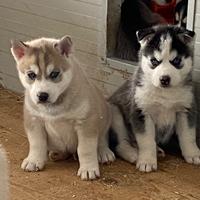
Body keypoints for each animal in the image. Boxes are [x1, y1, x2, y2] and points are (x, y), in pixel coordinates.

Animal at [10, 36, 114, 181]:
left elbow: (85, 149)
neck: (53, 107)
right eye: (31, 75)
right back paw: (57, 153)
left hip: (105, 114)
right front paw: (34, 160)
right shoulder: (34, 120)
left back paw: (104, 152)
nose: (42, 96)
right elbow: (37, 143)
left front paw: (88, 169)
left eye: (54, 74)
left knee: (103, 137)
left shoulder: (86, 122)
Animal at [109, 25, 200, 172]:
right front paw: (146, 161)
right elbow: (146, 140)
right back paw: (134, 155)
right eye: (154, 61)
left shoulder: (186, 110)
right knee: (121, 144)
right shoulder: (141, 112)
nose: (164, 79)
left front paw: (193, 154)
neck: (164, 93)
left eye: (176, 61)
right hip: (115, 113)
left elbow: (188, 135)